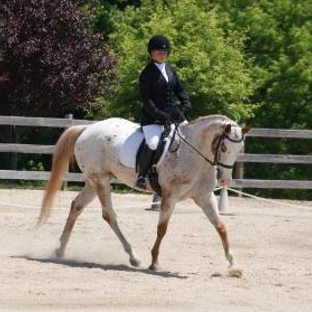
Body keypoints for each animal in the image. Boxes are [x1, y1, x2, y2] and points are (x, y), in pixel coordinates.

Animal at [37, 114, 251, 272]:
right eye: (224, 147)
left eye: (240, 149)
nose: (225, 181)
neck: (193, 154)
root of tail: (87, 129)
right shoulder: (170, 197)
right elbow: (162, 229)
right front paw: (154, 262)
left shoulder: (204, 197)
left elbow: (221, 227)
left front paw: (234, 265)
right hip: (101, 182)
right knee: (109, 215)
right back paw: (134, 257)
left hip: (93, 182)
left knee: (77, 206)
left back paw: (60, 250)